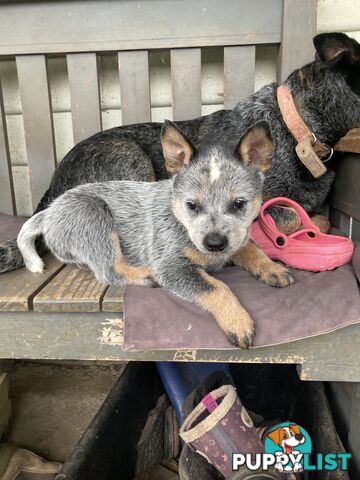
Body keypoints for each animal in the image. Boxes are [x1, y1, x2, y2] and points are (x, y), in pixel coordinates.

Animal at [17, 121, 292, 348]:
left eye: (239, 204)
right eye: (192, 205)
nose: (214, 243)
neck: (180, 221)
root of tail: (49, 211)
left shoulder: (236, 240)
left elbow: (252, 248)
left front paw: (272, 268)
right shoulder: (171, 266)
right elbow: (217, 287)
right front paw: (238, 320)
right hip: (94, 214)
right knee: (108, 270)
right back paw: (145, 275)